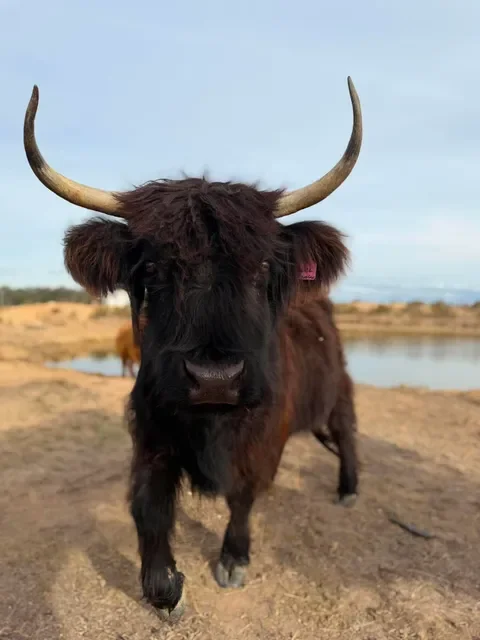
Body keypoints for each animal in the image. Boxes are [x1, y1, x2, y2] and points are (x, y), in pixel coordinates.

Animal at [23, 76, 362, 622]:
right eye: (153, 269)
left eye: (261, 267)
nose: (214, 379)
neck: (211, 425)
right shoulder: (151, 433)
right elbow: (149, 508)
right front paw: (167, 589)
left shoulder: (263, 440)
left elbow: (244, 497)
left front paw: (233, 560)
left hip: (339, 391)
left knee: (347, 433)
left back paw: (349, 490)